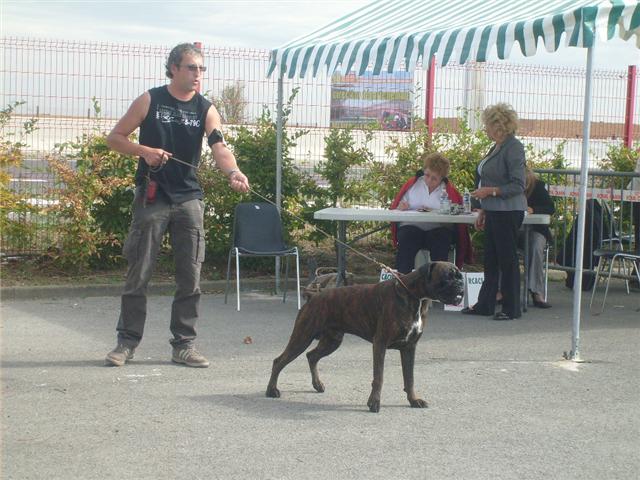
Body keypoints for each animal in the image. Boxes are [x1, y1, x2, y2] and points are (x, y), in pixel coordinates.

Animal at [264, 262, 464, 412]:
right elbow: (379, 377)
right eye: (447, 277)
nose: (461, 285)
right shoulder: (380, 344)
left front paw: (413, 400)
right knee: (279, 361)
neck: (414, 296)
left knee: (311, 356)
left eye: (460, 277)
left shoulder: (409, 348)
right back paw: (272, 390)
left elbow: (410, 378)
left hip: (332, 341)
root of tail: (314, 295)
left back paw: (317, 384)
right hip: (302, 336)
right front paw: (374, 403)